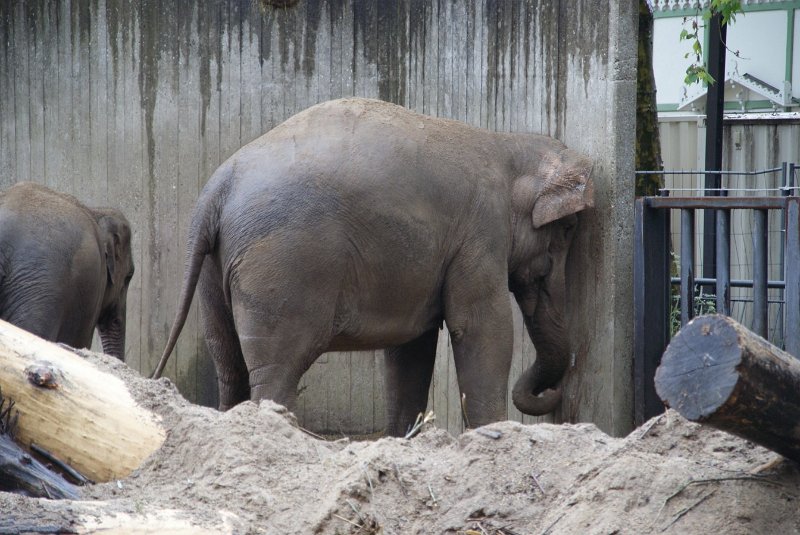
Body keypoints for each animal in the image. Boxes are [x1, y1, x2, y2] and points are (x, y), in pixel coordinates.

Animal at [155, 98, 592, 438]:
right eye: (568, 229)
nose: (553, 395)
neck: (507, 145)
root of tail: (216, 189)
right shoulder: (481, 234)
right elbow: (481, 328)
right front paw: (493, 434)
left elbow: (411, 346)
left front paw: (401, 439)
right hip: (282, 267)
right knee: (276, 368)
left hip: (214, 271)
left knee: (227, 360)